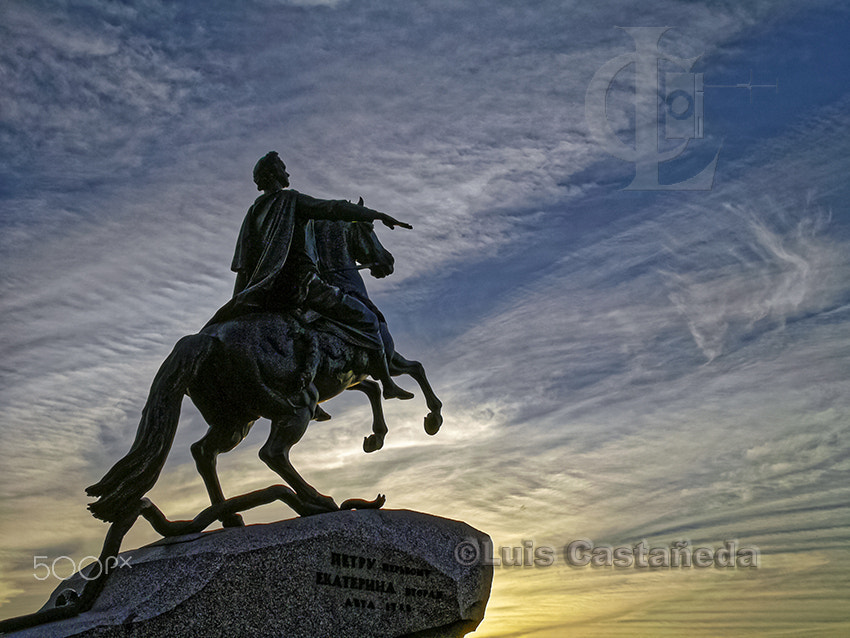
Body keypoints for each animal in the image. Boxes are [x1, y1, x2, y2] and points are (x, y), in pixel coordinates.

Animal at [87, 218, 444, 528]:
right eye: (369, 230)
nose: (388, 262)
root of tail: (207, 340)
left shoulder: (342, 378)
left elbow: (373, 389)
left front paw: (375, 438)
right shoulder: (383, 355)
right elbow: (412, 371)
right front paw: (431, 418)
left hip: (236, 420)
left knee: (203, 452)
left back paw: (230, 516)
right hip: (291, 408)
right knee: (272, 453)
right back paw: (319, 500)